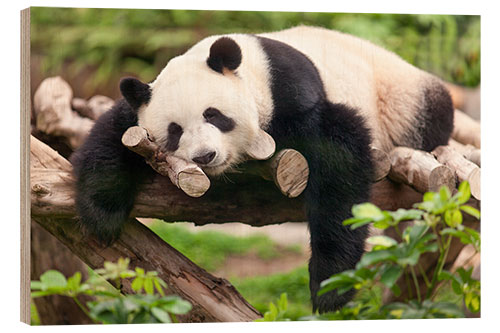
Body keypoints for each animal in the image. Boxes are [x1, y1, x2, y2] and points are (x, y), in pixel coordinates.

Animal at [72, 25, 456, 312]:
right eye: (174, 130)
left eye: (213, 115)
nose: (205, 156)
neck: (254, 70)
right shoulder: (141, 106)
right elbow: (113, 132)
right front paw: (102, 214)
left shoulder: (293, 94)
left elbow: (339, 160)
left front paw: (330, 286)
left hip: (401, 97)